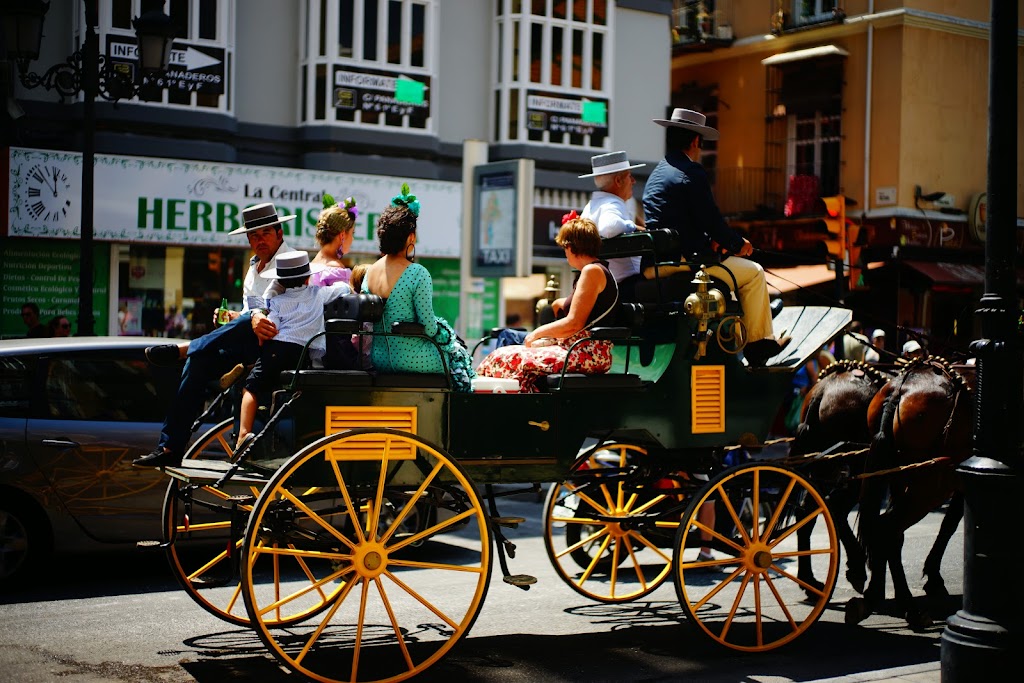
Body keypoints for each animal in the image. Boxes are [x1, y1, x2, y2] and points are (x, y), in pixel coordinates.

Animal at [847, 358, 974, 630]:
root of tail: (901, 389)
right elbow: (950, 523)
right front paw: (933, 577)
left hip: (902, 475)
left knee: (888, 533)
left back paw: (874, 596)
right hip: (933, 481)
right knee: (888, 527)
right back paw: (907, 607)